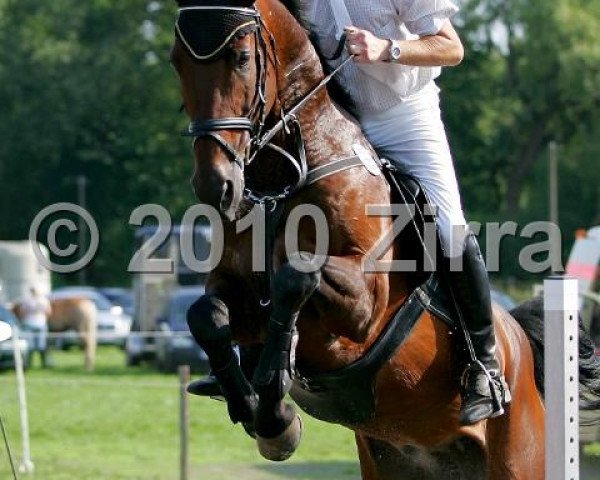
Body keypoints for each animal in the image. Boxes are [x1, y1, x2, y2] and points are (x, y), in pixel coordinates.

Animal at [170, 1, 600, 478]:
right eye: (176, 62)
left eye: (241, 58)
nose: (216, 186)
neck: (288, 174)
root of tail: (521, 346)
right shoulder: (235, 288)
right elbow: (206, 315)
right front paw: (261, 412)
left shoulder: (365, 305)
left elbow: (294, 275)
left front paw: (276, 402)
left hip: (518, 457)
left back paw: (483, 383)